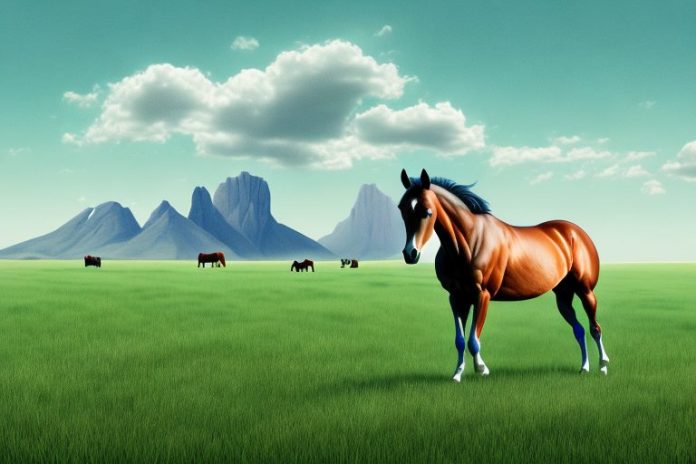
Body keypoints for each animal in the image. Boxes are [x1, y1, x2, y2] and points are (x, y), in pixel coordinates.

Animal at [398, 169, 609, 382]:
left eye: (427, 211)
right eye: (402, 208)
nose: (410, 253)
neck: (469, 241)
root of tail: (577, 233)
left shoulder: (482, 295)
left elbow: (473, 339)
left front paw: (482, 369)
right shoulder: (457, 297)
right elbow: (460, 340)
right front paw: (457, 374)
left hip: (585, 290)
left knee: (595, 328)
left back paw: (603, 366)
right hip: (563, 295)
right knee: (579, 329)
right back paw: (584, 367)